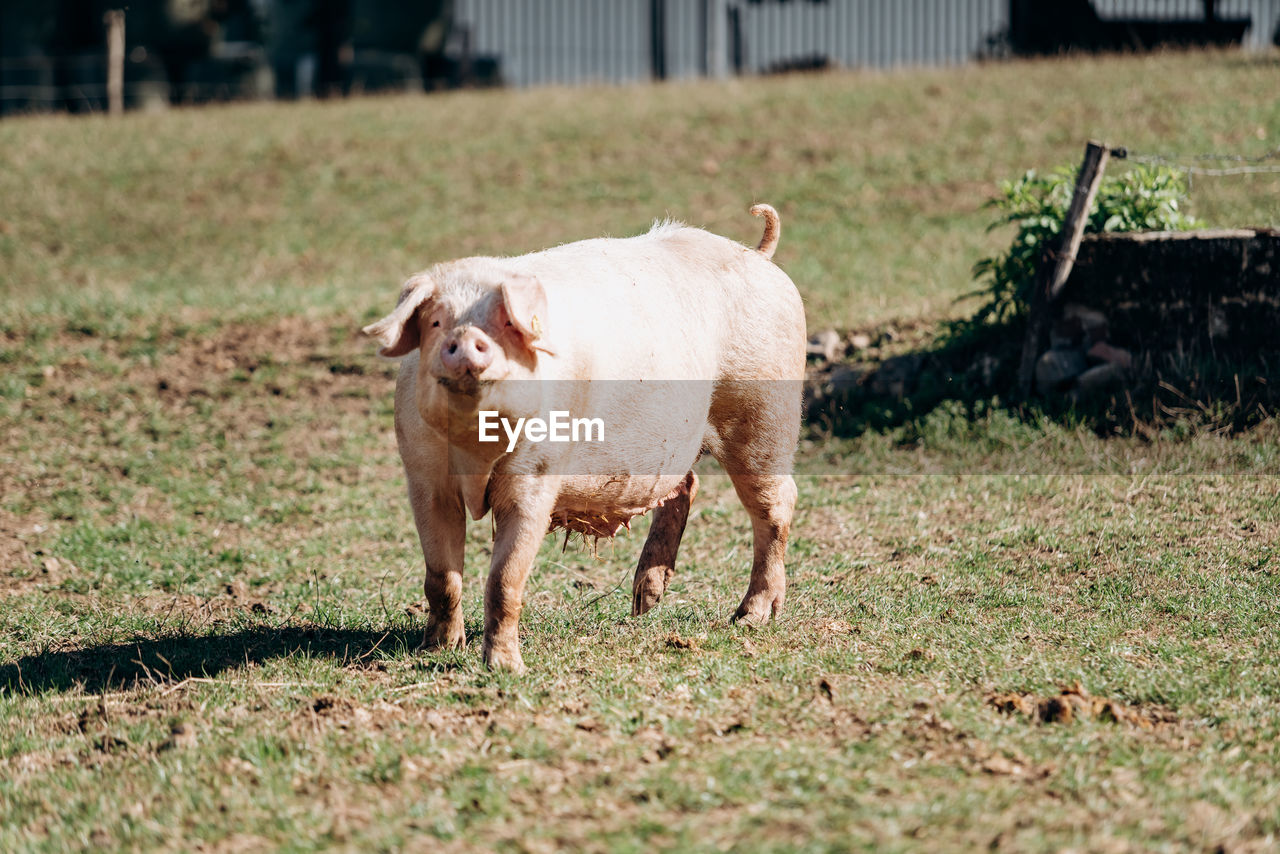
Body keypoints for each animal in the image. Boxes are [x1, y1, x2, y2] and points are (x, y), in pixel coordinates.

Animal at [363, 203, 798, 670]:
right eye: (436, 321)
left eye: (505, 322)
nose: (465, 340)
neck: (475, 449)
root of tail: (759, 255)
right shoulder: (423, 474)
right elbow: (441, 577)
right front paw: (438, 650)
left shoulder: (536, 474)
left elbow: (505, 579)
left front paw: (506, 668)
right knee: (686, 484)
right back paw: (643, 603)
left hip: (764, 412)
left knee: (776, 505)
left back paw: (749, 619)